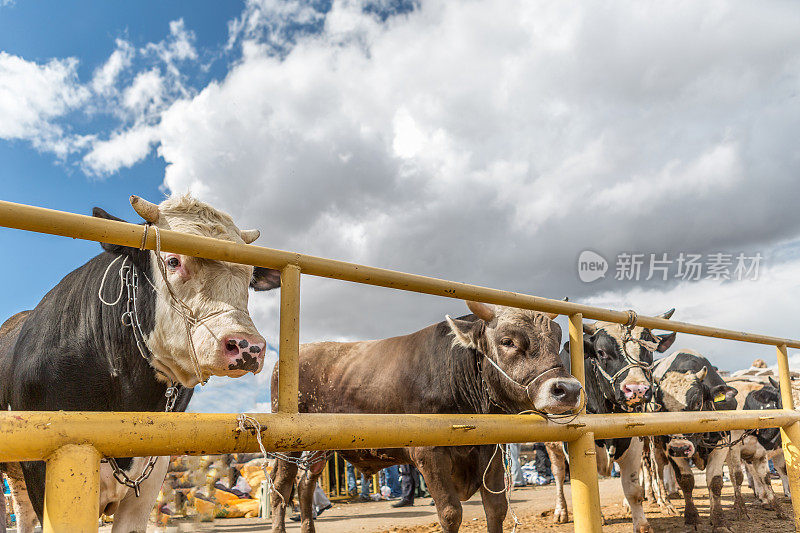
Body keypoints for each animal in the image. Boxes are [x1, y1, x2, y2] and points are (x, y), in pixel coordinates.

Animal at [268, 302, 580, 528]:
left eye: (557, 340)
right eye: (508, 341)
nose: (568, 389)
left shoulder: (489, 450)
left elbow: (496, 508)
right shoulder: (428, 453)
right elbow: (451, 513)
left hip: (319, 447)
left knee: (305, 485)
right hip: (287, 445)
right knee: (281, 489)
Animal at [544, 312, 676, 532]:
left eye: (648, 349)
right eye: (601, 352)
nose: (637, 389)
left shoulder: (634, 442)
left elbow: (633, 489)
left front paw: (641, 524)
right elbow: (588, 487)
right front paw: (597, 517)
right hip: (551, 446)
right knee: (559, 474)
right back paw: (560, 511)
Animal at [648, 350, 736, 532]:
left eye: (697, 403)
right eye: (661, 408)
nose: (680, 448)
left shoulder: (722, 442)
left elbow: (714, 481)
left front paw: (718, 520)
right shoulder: (670, 447)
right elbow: (686, 480)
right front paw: (692, 519)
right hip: (654, 447)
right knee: (657, 471)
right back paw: (664, 503)